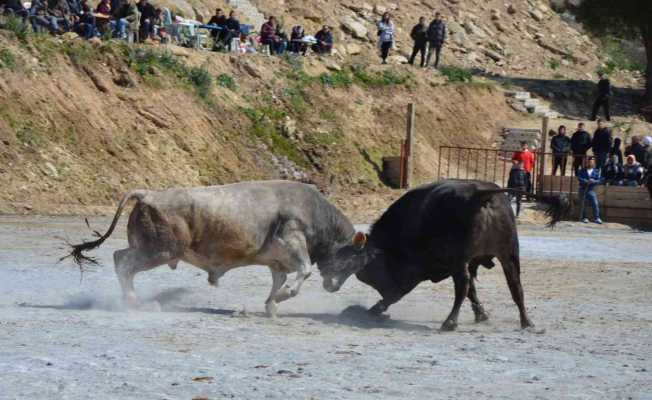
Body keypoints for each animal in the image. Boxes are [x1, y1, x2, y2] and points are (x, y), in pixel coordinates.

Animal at [318, 181, 568, 332]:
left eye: (349, 261)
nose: (329, 284)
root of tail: (479, 193)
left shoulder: (415, 271)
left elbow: (395, 294)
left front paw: (375, 310)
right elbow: (474, 291)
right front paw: (481, 315)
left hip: (463, 260)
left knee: (463, 286)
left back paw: (450, 322)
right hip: (509, 254)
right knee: (515, 287)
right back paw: (527, 322)